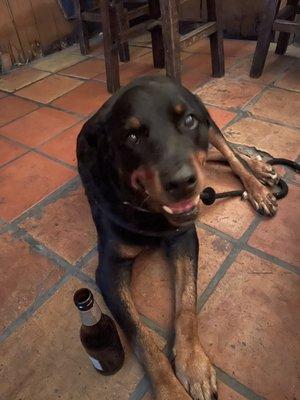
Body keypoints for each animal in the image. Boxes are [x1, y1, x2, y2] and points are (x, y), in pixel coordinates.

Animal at [76, 76, 278, 400]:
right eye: (132, 137)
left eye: (188, 120)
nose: (182, 182)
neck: (148, 209)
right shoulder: (108, 269)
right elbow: (141, 337)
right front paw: (170, 390)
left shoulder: (183, 238)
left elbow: (186, 303)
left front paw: (193, 363)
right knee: (215, 154)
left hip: (210, 128)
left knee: (229, 153)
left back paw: (257, 179)